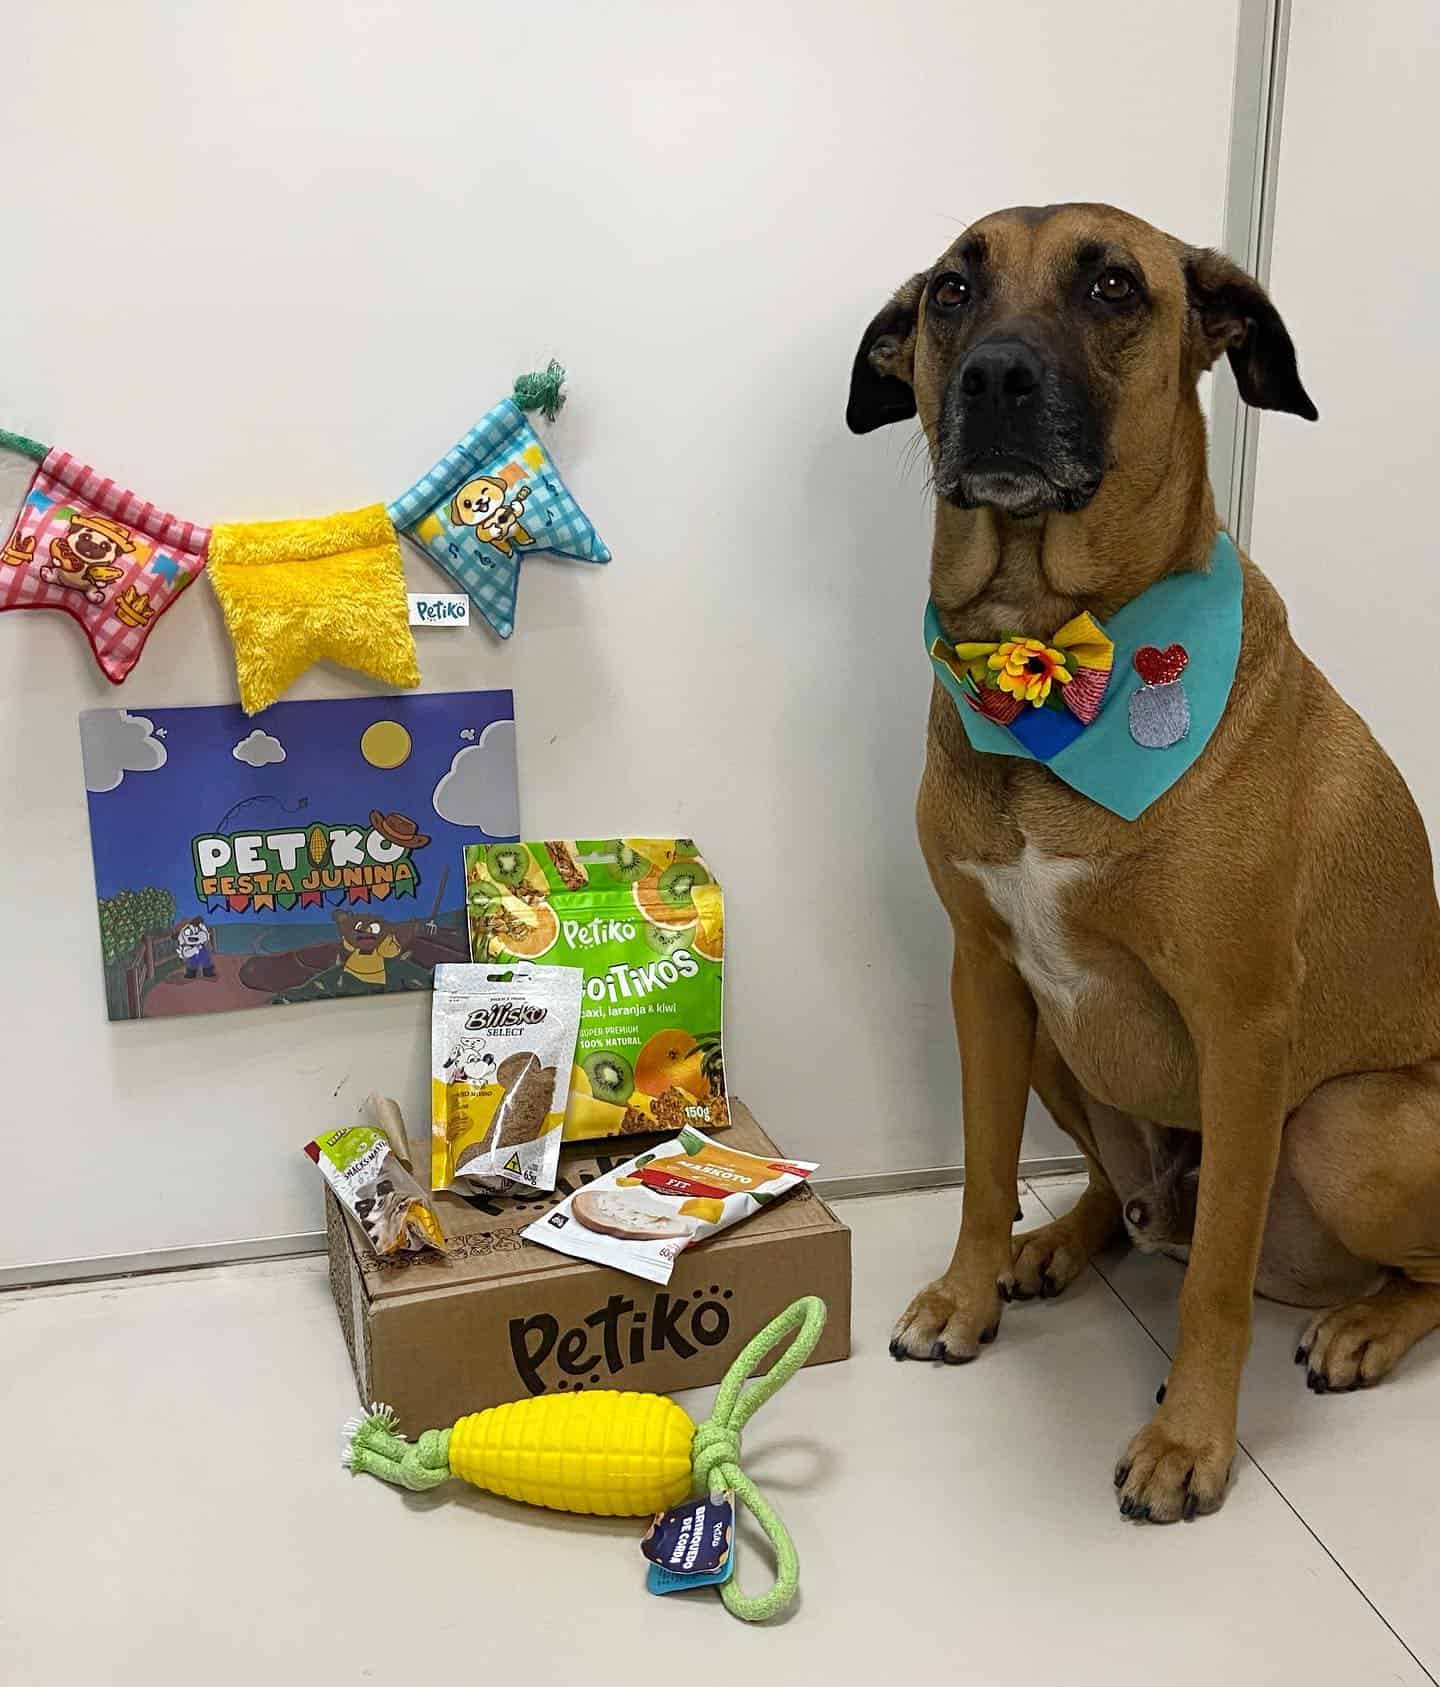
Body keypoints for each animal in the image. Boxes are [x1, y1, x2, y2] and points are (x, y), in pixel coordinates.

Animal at [849, 204, 1440, 1525]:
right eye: (952, 289)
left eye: (1115, 286)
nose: (993, 379)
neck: (1046, 653)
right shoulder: (986, 977)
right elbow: (982, 1168)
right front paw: (967, 1291)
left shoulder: (1244, 1025)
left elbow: (1215, 1277)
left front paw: (1189, 1439)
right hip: (1065, 1049)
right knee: (1119, 1205)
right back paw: (1062, 1242)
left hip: (1343, 1125)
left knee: (1380, 1259)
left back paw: (1366, 1325)